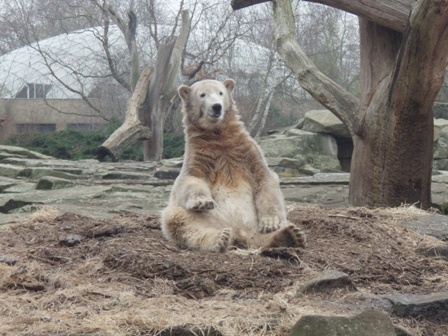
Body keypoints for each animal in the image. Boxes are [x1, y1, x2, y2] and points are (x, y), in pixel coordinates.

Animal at [160, 79, 304, 252]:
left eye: (221, 92)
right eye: (202, 94)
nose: (216, 106)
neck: (219, 136)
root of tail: (240, 232)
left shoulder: (246, 151)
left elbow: (264, 178)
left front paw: (270, 223)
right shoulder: (199, 155)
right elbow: (190, 178)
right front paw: (202, 202)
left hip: (254, 223)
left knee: (266, 233)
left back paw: (290, 235)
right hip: (205, 219)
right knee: (177, 219)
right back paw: (219, 238)